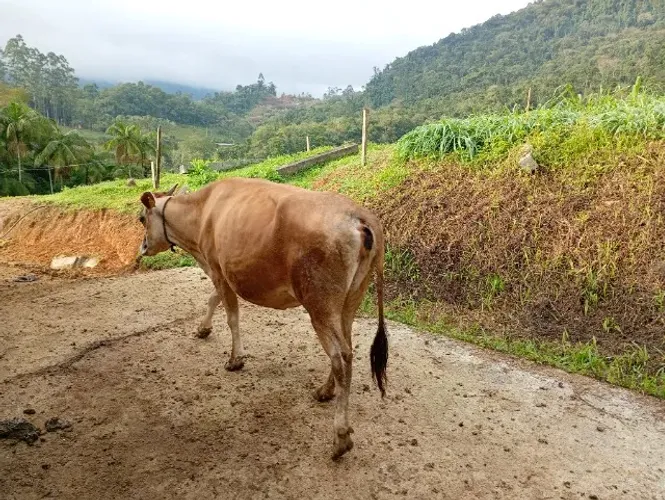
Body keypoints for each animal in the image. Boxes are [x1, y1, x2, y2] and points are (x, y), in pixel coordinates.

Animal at [137, 179, 388, 460]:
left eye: (141, 218)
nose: (142, 248)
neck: (201, 212)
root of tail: (359, 214)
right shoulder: (221, 273)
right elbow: (213, 300)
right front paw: (203, 329)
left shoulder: (218, 269)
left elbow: (231, 317)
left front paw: (235, 359)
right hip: (350, 300)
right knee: (347, 348)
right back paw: (325, 391)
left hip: (319, 303)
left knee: (340, 356)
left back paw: (340, 437)